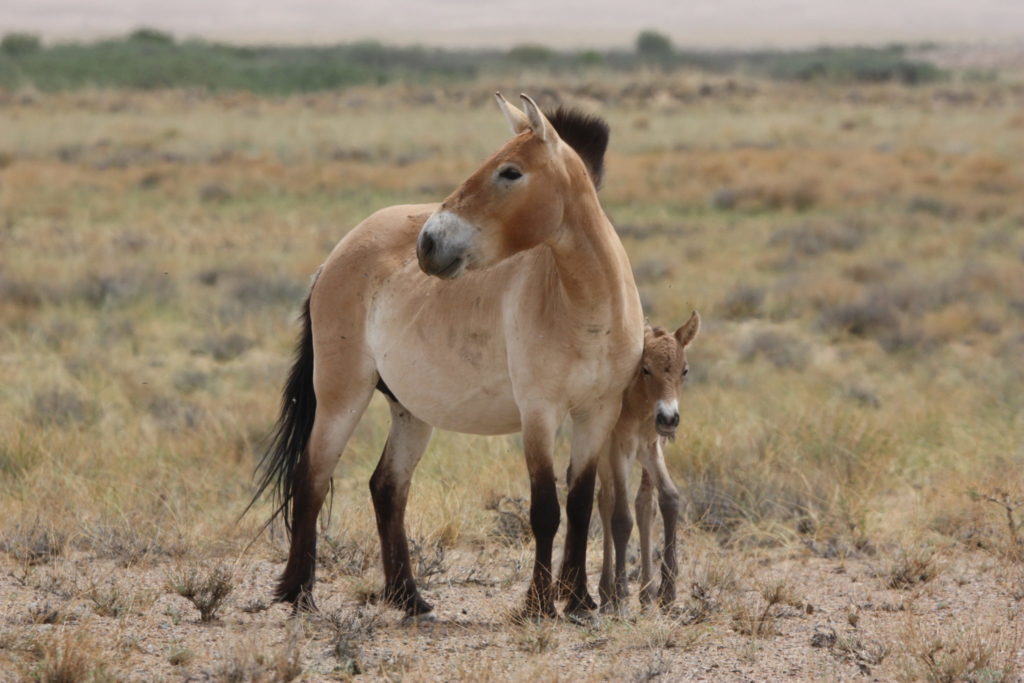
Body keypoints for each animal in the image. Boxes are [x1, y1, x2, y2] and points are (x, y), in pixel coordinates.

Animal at [250, 93, 644, 621]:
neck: (586, 309)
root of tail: (334, 257)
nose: (428, 244)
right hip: (341, 395)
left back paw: (408, 597)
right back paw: (300, 593)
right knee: (311, 478)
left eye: (510, 172)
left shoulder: (597, 413)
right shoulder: (539, 415)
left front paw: (578, 600)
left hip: (410, 411)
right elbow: (545, 510)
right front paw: (538, 604)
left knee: (387, 488)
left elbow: (580, 504)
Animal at [594, 313, 699, 613]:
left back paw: (646, 591)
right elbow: (620, 516)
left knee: (643, 504)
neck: (641, 409)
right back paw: (606, 592)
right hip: (600, 452)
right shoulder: (620, 450)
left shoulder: (652, 449)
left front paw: (667, 591)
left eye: (684, 370)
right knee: (605, 501)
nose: (669, 418)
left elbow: (668, 499)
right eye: (645, 369)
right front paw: (619, 594)